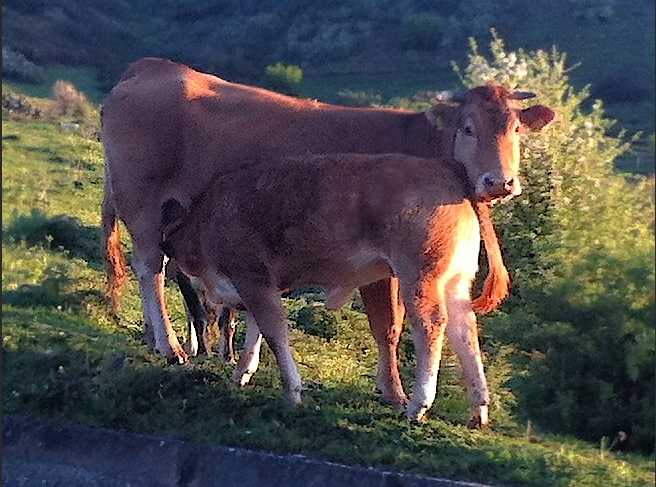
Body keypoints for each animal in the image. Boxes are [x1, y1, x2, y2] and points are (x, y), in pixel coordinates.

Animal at [158, 152, 508, 424]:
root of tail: (446, 168)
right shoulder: (260, 283)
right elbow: (255, 328)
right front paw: (243, 371)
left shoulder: (252, 276)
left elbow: (274, 331)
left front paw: (292, 391)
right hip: (456, 280)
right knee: (465, 332)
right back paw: (478, 410)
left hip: (419, 276)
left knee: (431, 326)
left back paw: (417, 405)